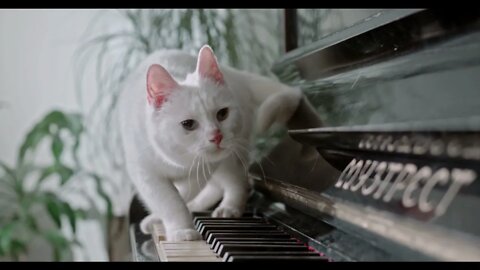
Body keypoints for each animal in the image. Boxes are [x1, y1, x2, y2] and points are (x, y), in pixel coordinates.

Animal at [117, 45, 300, 242]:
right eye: (188, 124)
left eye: (222, 114)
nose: (216, 136)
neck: (178, 163)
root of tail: (233, 73)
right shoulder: (146, 174)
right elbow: (171, 201)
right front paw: (180, 228)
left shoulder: (203, 169)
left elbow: (181, 196)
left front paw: (179, 228)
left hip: (231, 155)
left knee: (238, 181)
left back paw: (229, 208)